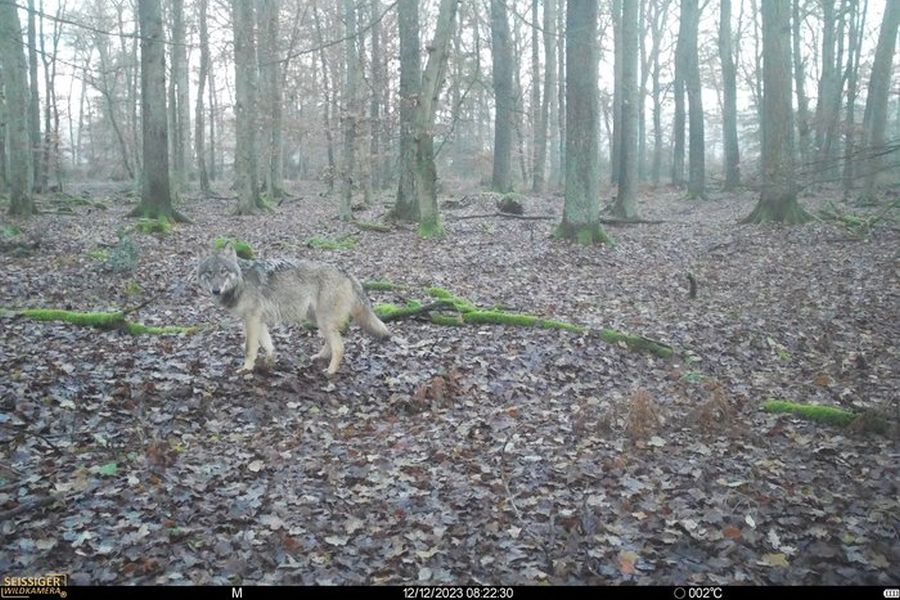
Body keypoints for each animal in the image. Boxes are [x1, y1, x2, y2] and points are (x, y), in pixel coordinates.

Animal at [197, 243, 386, 376]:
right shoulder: (258, 320)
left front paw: (246, 370)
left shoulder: (251, 319)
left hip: (323, 320)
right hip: (318, 320)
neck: (241, 282)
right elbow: (268, 346)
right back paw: (320, 357)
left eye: (223, 271)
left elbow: (249, 349)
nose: (216, 290)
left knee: (340, 347)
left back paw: (330, 371)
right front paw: (268, 364)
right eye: (209, 273)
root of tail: (348, 273)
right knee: (332, 342)